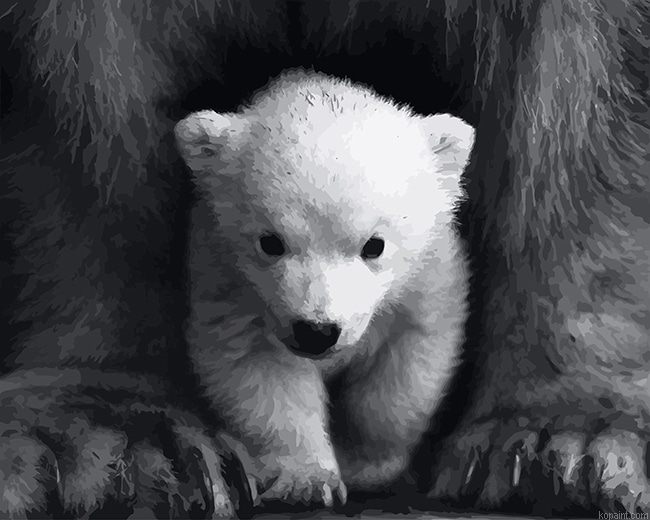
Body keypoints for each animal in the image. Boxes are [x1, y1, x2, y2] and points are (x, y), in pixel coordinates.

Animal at [173, 69, 475, 507]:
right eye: (270, 242)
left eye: (374, 245)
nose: (317, 332)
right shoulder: (228, 283)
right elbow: (263, 374)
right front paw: (307, 481)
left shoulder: (427, 282)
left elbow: (403, 373)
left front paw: (364, 463)